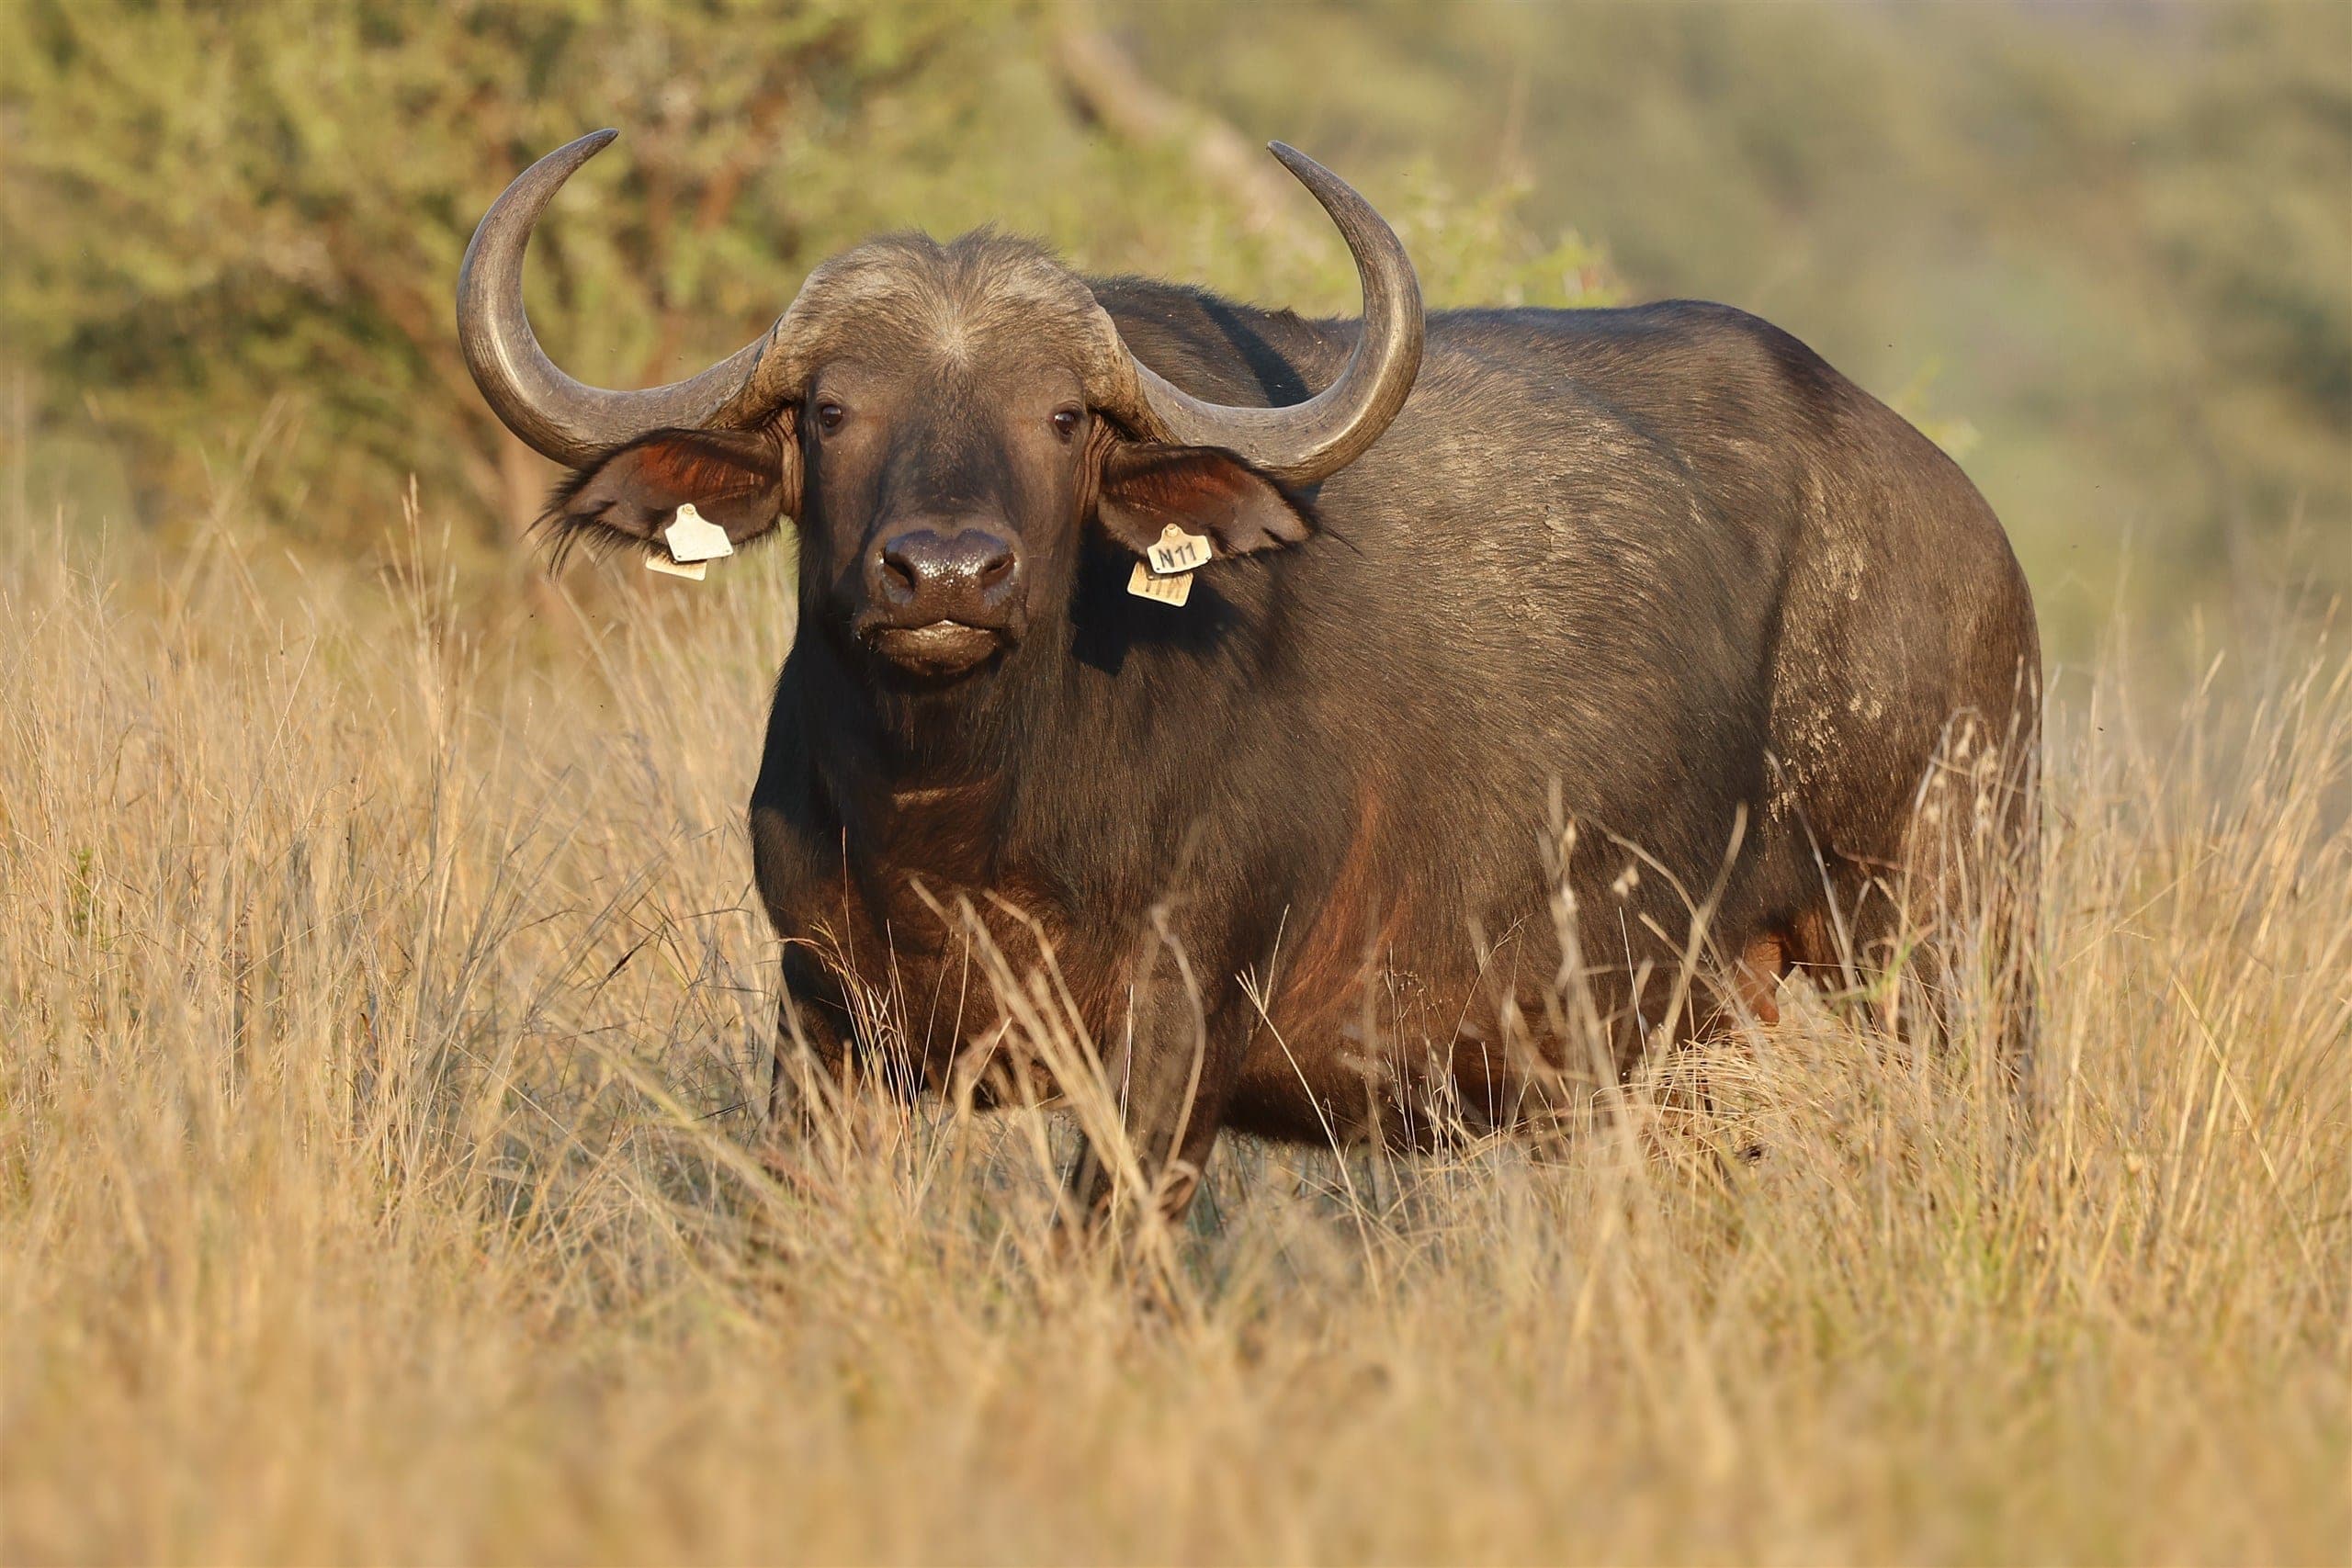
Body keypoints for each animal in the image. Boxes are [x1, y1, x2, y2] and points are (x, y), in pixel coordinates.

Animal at [458, 131, 2040, 1225]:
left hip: (1939, 930)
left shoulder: (1173, 1039)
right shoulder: (823, 1019)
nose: (946, 575)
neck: (962, 812)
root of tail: (1960, 517)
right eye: (833, 409)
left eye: (1063, 418)